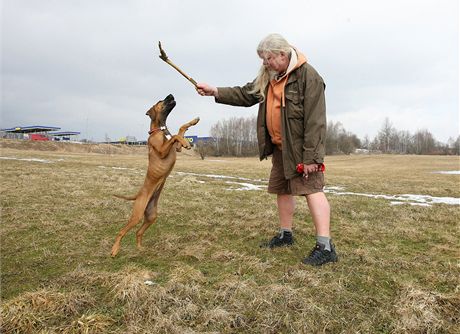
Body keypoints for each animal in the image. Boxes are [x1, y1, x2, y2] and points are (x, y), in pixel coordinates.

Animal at [111, 94, 199, 258]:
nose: (171, 94)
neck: (161, 130)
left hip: (151, 216)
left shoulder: (176, 149)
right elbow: (176, 136)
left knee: (138, 232)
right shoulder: (163, 150)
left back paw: (140, 249)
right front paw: (186, 141)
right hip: (137, 215)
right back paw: (114, 250)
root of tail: (139, 195)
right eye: (160, 101)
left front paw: (192, 123)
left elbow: (180, 130)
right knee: (121, 232)